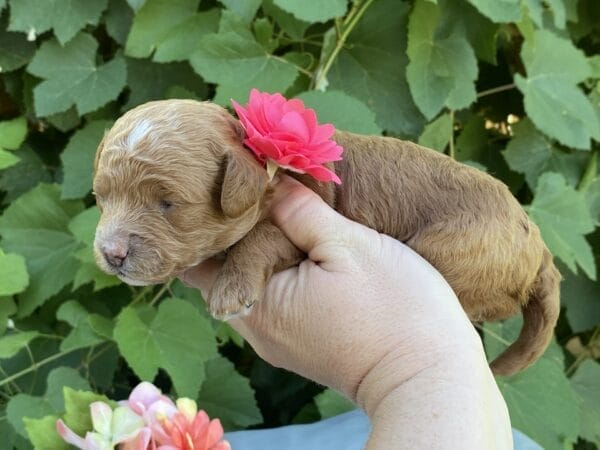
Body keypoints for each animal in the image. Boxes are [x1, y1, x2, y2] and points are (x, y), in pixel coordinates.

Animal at [94, 99, 564, 376]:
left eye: (167, 204)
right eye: (101, 198)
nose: (111, 254)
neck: (267, 166)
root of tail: (541, 250)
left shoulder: (305, 217)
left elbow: (260, 238)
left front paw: (232, 290)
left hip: (457, 249)